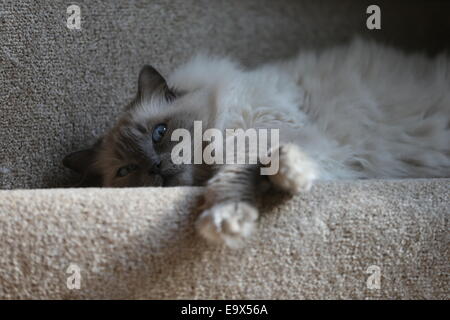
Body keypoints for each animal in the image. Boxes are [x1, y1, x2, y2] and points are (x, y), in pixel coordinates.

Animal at [63, 38, 450, 248]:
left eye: (159, 133)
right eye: (127, 170)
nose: (156, 168)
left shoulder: (266, 133)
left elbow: (237, 172)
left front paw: (227, 218)